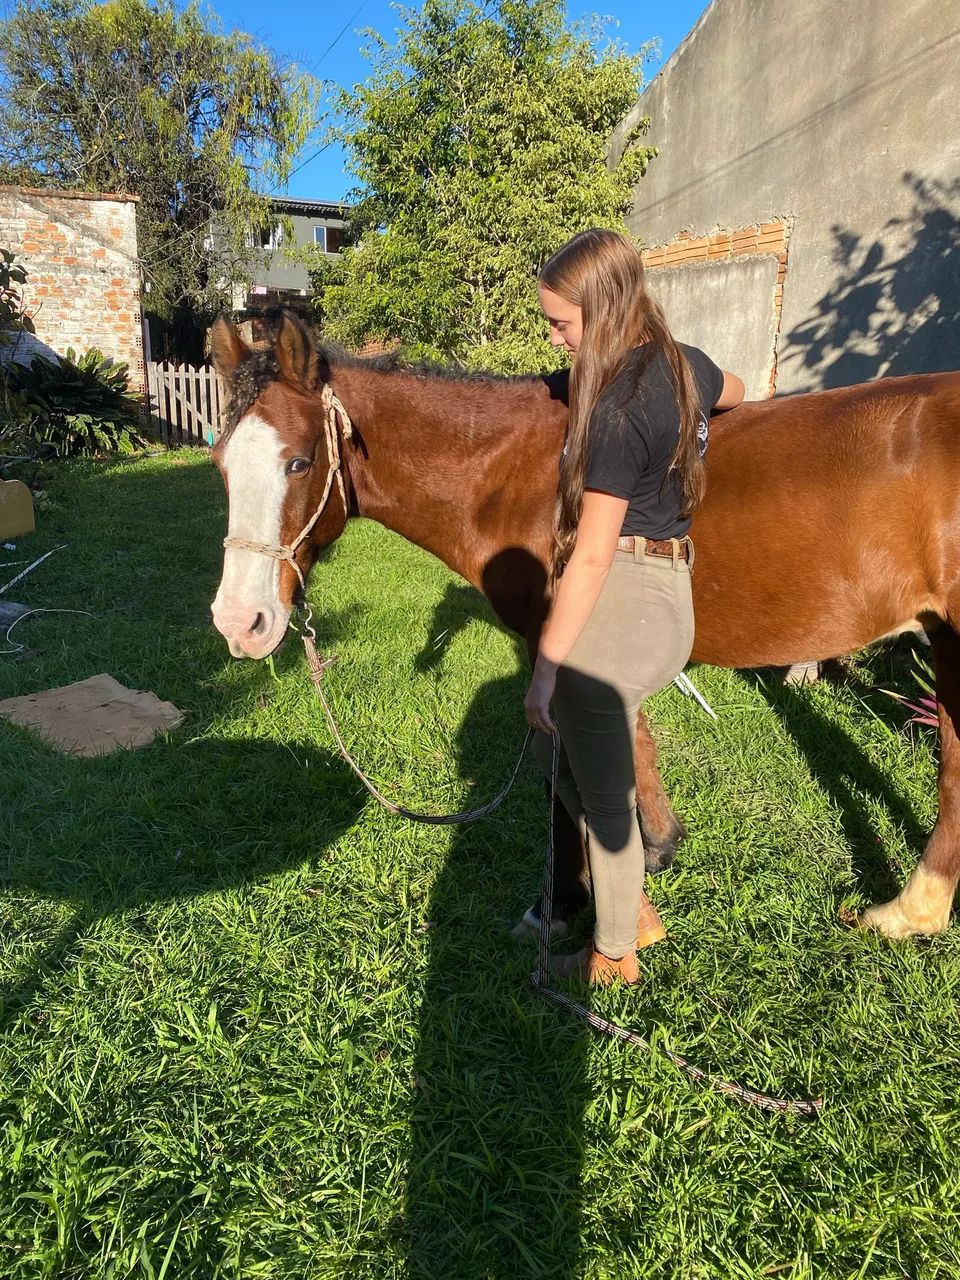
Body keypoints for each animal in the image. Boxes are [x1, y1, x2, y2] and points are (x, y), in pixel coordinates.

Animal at [209, 310, 960, 942]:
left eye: (300, 461)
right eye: (220, 464)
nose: (239, 623)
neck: (522, 473)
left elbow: (566, 769)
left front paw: (566, 901)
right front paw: (651, 849)